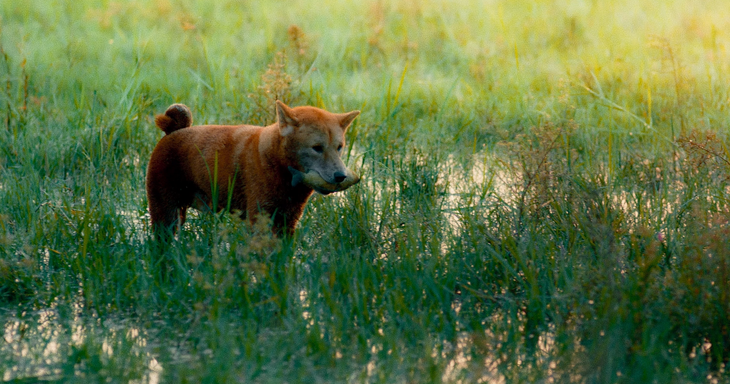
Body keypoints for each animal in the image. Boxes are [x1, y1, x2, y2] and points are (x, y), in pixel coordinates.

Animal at [144, 100, 358, 236]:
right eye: (317, 148)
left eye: (339, 147)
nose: (340, 176)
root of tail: (174, 132)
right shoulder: (260, 218)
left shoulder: (288, 220)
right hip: (165, 213)